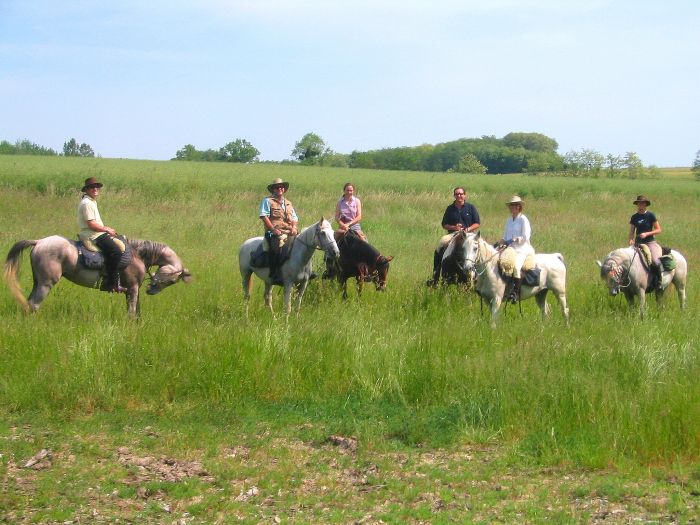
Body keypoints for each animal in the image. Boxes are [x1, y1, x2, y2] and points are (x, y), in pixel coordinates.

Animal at [5, 235, 193, 318]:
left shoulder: (133, 290)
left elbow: (135, 311)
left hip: (38, 282)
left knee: (29, 303)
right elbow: (132, 312)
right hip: (46, 284)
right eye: (171, 280)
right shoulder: (132, 288)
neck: (137, 255)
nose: (151, 291)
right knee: (34, 305)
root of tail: (39, 242)